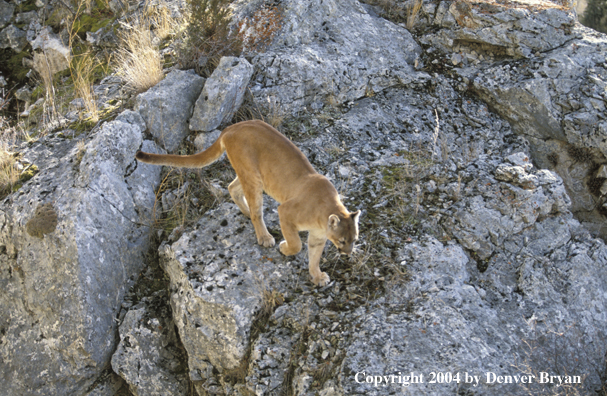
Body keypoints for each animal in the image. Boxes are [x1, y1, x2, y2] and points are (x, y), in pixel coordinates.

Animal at [135, 119, 358, 286]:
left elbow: (314, 256)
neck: (326, 211)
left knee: (232, 187)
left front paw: (317, 276)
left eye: (354, 240)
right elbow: (297, 245)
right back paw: (264, 236)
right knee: (255, 210)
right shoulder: (285, 212)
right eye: (342, 241)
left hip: (250, 176)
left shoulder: (318, 237)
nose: (348, 253)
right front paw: (284, 247)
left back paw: (245, 212)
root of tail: (230, 127)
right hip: (253, 178)